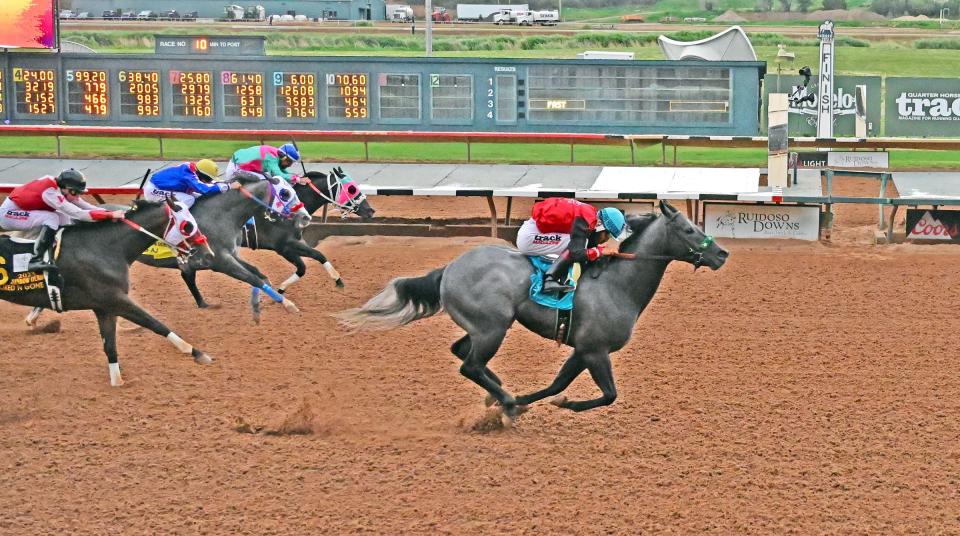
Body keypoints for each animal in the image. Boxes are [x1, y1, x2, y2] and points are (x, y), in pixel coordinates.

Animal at [1, 197, 216, 386]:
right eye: (188, 225)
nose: (208, 254)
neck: (104, 248)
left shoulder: (105, 308)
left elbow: (110, 346)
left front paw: (117, 381)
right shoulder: (115, 299)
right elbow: (156, 324)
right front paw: (196, 352)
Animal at [176, 168, 376, 310]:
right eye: (352, 188)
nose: (371, 210)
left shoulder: (296, 242)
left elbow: (318, 257)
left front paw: (338, 281)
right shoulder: (284, 247)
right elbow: (304, 266)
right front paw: (280, 290)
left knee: (187, 273)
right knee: (188, 273)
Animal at [338, 201, 728, 422]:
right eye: (689, 229)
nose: (722, 254)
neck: (618, 285)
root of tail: (448, 268)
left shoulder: (581, 349)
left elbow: (558, 384)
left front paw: (536, 400)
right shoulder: (595, 350)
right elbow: (608, 395)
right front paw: (550, 404)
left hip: (482, 326)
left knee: (462, 354)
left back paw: (500, 394)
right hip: (493, 327)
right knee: (470, 365)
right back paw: (506, 401)